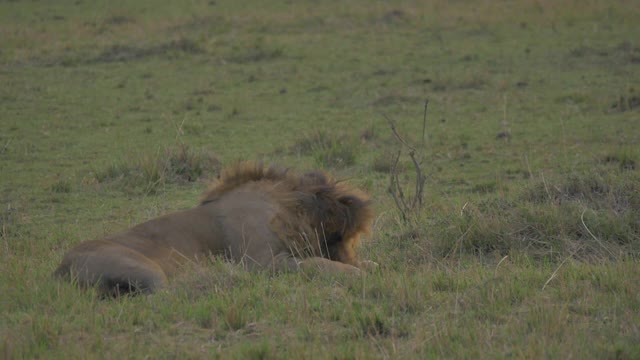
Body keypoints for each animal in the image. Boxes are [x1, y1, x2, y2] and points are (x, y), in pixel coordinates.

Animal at [55, 161, 378, 296]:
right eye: (341, 239)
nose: (350, 258)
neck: (286, 207)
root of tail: (60, 268)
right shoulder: (261, 262)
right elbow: (315, 264)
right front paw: (355, 274)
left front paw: (368, 266)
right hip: (142, 268)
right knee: (164, 293)